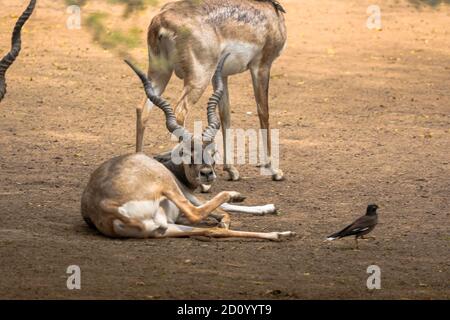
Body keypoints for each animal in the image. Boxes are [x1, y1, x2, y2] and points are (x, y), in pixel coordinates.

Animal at [80, 55, 296, 240]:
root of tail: (109, 208)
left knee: (212, 231)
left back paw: (281, 234)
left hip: (165, 228)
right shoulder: (189, 195)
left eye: (213, 152)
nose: (207, 173)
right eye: (187, 154)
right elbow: (221, 207)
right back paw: (238, 202)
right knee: (197, 214)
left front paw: (267, 207)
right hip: (168, 189)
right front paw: (243, 201)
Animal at [142, 0, 286, 181]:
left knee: (143, 111)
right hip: (198, 79)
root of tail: (161, 20)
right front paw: (274, 170)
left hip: (159, 75)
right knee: (179, 112)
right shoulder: (261, 67)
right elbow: (263, 114)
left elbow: (225, 117)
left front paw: (231, 170)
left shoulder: (221, 76)